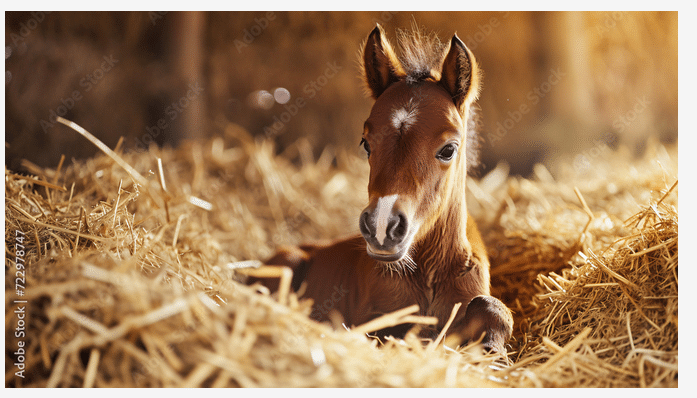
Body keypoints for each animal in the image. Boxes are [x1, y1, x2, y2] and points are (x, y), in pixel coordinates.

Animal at [256, 24, 512, 352]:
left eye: (448, 149)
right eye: (366, 143)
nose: (381, 227)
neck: (429, 272)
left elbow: (491, 307)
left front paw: (492, 348)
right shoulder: (374, 320)